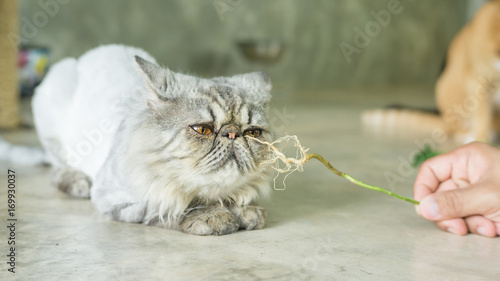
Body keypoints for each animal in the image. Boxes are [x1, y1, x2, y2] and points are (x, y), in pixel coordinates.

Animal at [32, 45, 274, 234]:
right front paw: (215, 217)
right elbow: (174, 207)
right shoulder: (121, 199)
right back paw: (77, 183)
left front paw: (245, 211)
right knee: (57, 171)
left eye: (252, 133)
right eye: (203, 129)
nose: (232, 134)